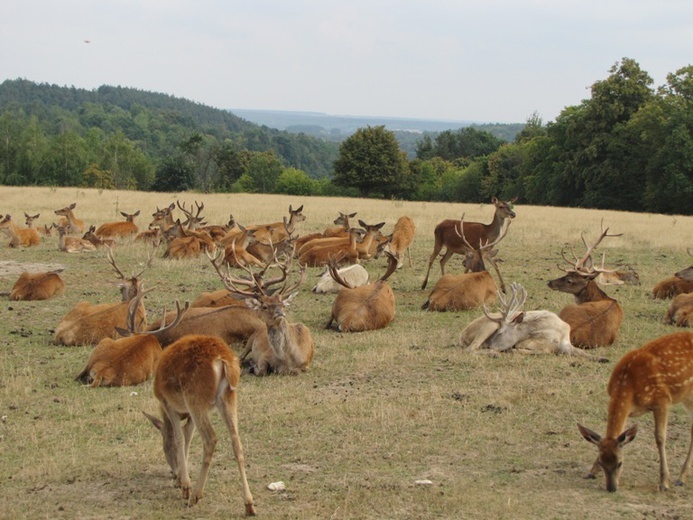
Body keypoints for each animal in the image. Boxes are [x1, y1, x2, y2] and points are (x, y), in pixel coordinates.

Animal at [142, 334, 255, 512]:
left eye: (164, 446)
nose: (173, 473)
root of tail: (221, 360)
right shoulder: (191, 414)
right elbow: (188, 436)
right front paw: (181, 479)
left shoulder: (169, 404)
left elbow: (180, 438)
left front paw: (184, 486)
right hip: (228, 396)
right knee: (236, 441)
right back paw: (249, 505)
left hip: (194, 396)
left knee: (210, 439)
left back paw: (195, 495)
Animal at [208, 246, 314, 376]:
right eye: (265, 306)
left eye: (283, 305)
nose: (280, 313)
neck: (287, 360)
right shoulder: (264, 355)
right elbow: (262, 370)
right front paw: (254, 367)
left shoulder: (306, 363)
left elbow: (296, 371)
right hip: (250, 340)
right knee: (239, 357)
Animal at [456, 284, 608, 362]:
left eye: (500, 333)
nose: (490, 345)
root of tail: (462, 336)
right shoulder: (530, 342)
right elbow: (542, 351)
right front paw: (512, 350)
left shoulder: (566, 343)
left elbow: (581, 352)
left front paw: (602, 358)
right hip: (490, 324)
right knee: (470, 348)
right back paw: (495, 353)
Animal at [576, 332, 693, 494]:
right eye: (601, 461)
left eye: (620, 463)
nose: (611, 488)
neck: (629, 386)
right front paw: (591, 472)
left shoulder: (662, 400)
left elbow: (660, 438)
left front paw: (664, 483)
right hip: (687, 398)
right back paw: (683, 477)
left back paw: (681, 478)